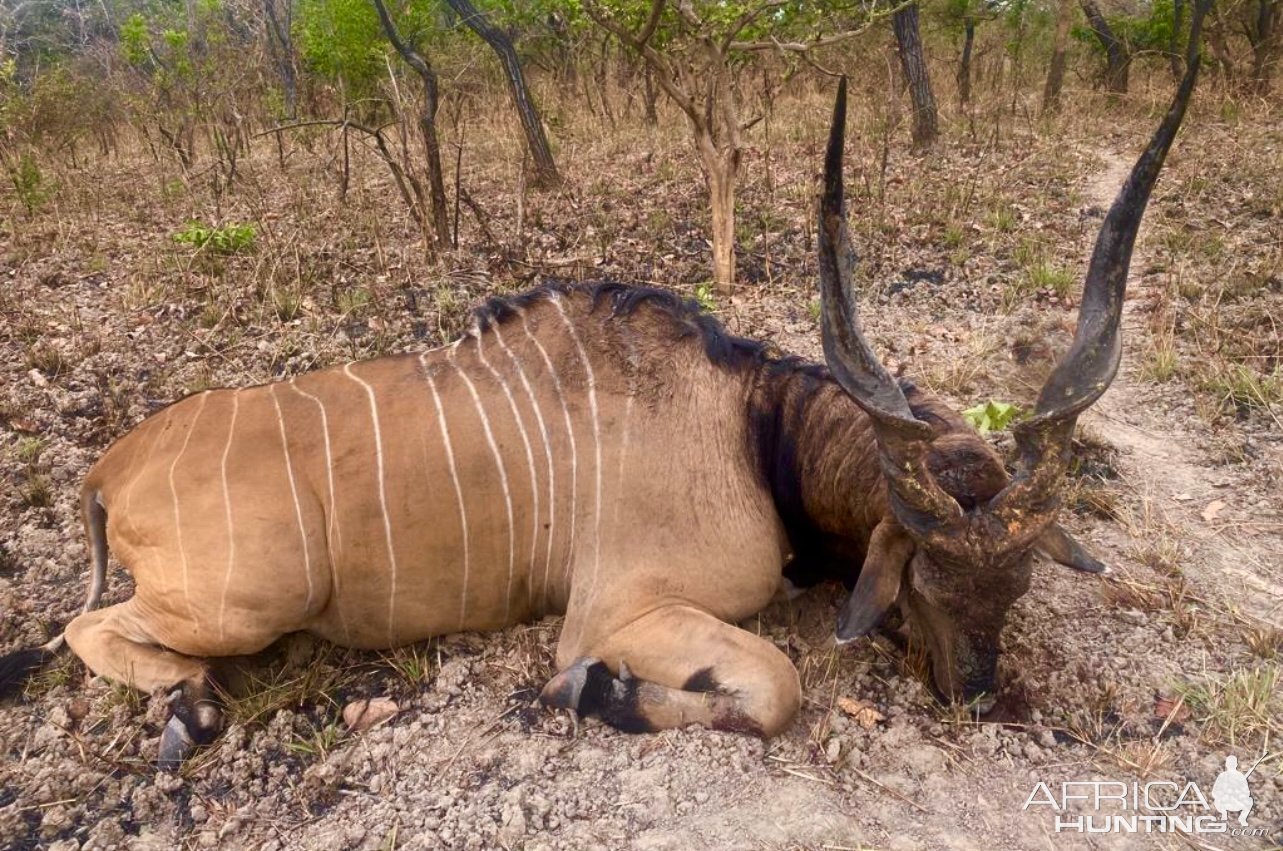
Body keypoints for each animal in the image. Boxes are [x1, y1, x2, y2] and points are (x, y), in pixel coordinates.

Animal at [2, 56, 1200, 770]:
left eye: (1021, 580)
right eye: (923, 581)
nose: (976, 696)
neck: (748, 426)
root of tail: (107, 469)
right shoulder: (615, 610)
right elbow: (772, 687)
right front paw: (595, 693)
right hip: (252, 597)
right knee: (91, 628)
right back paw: (188, 708)